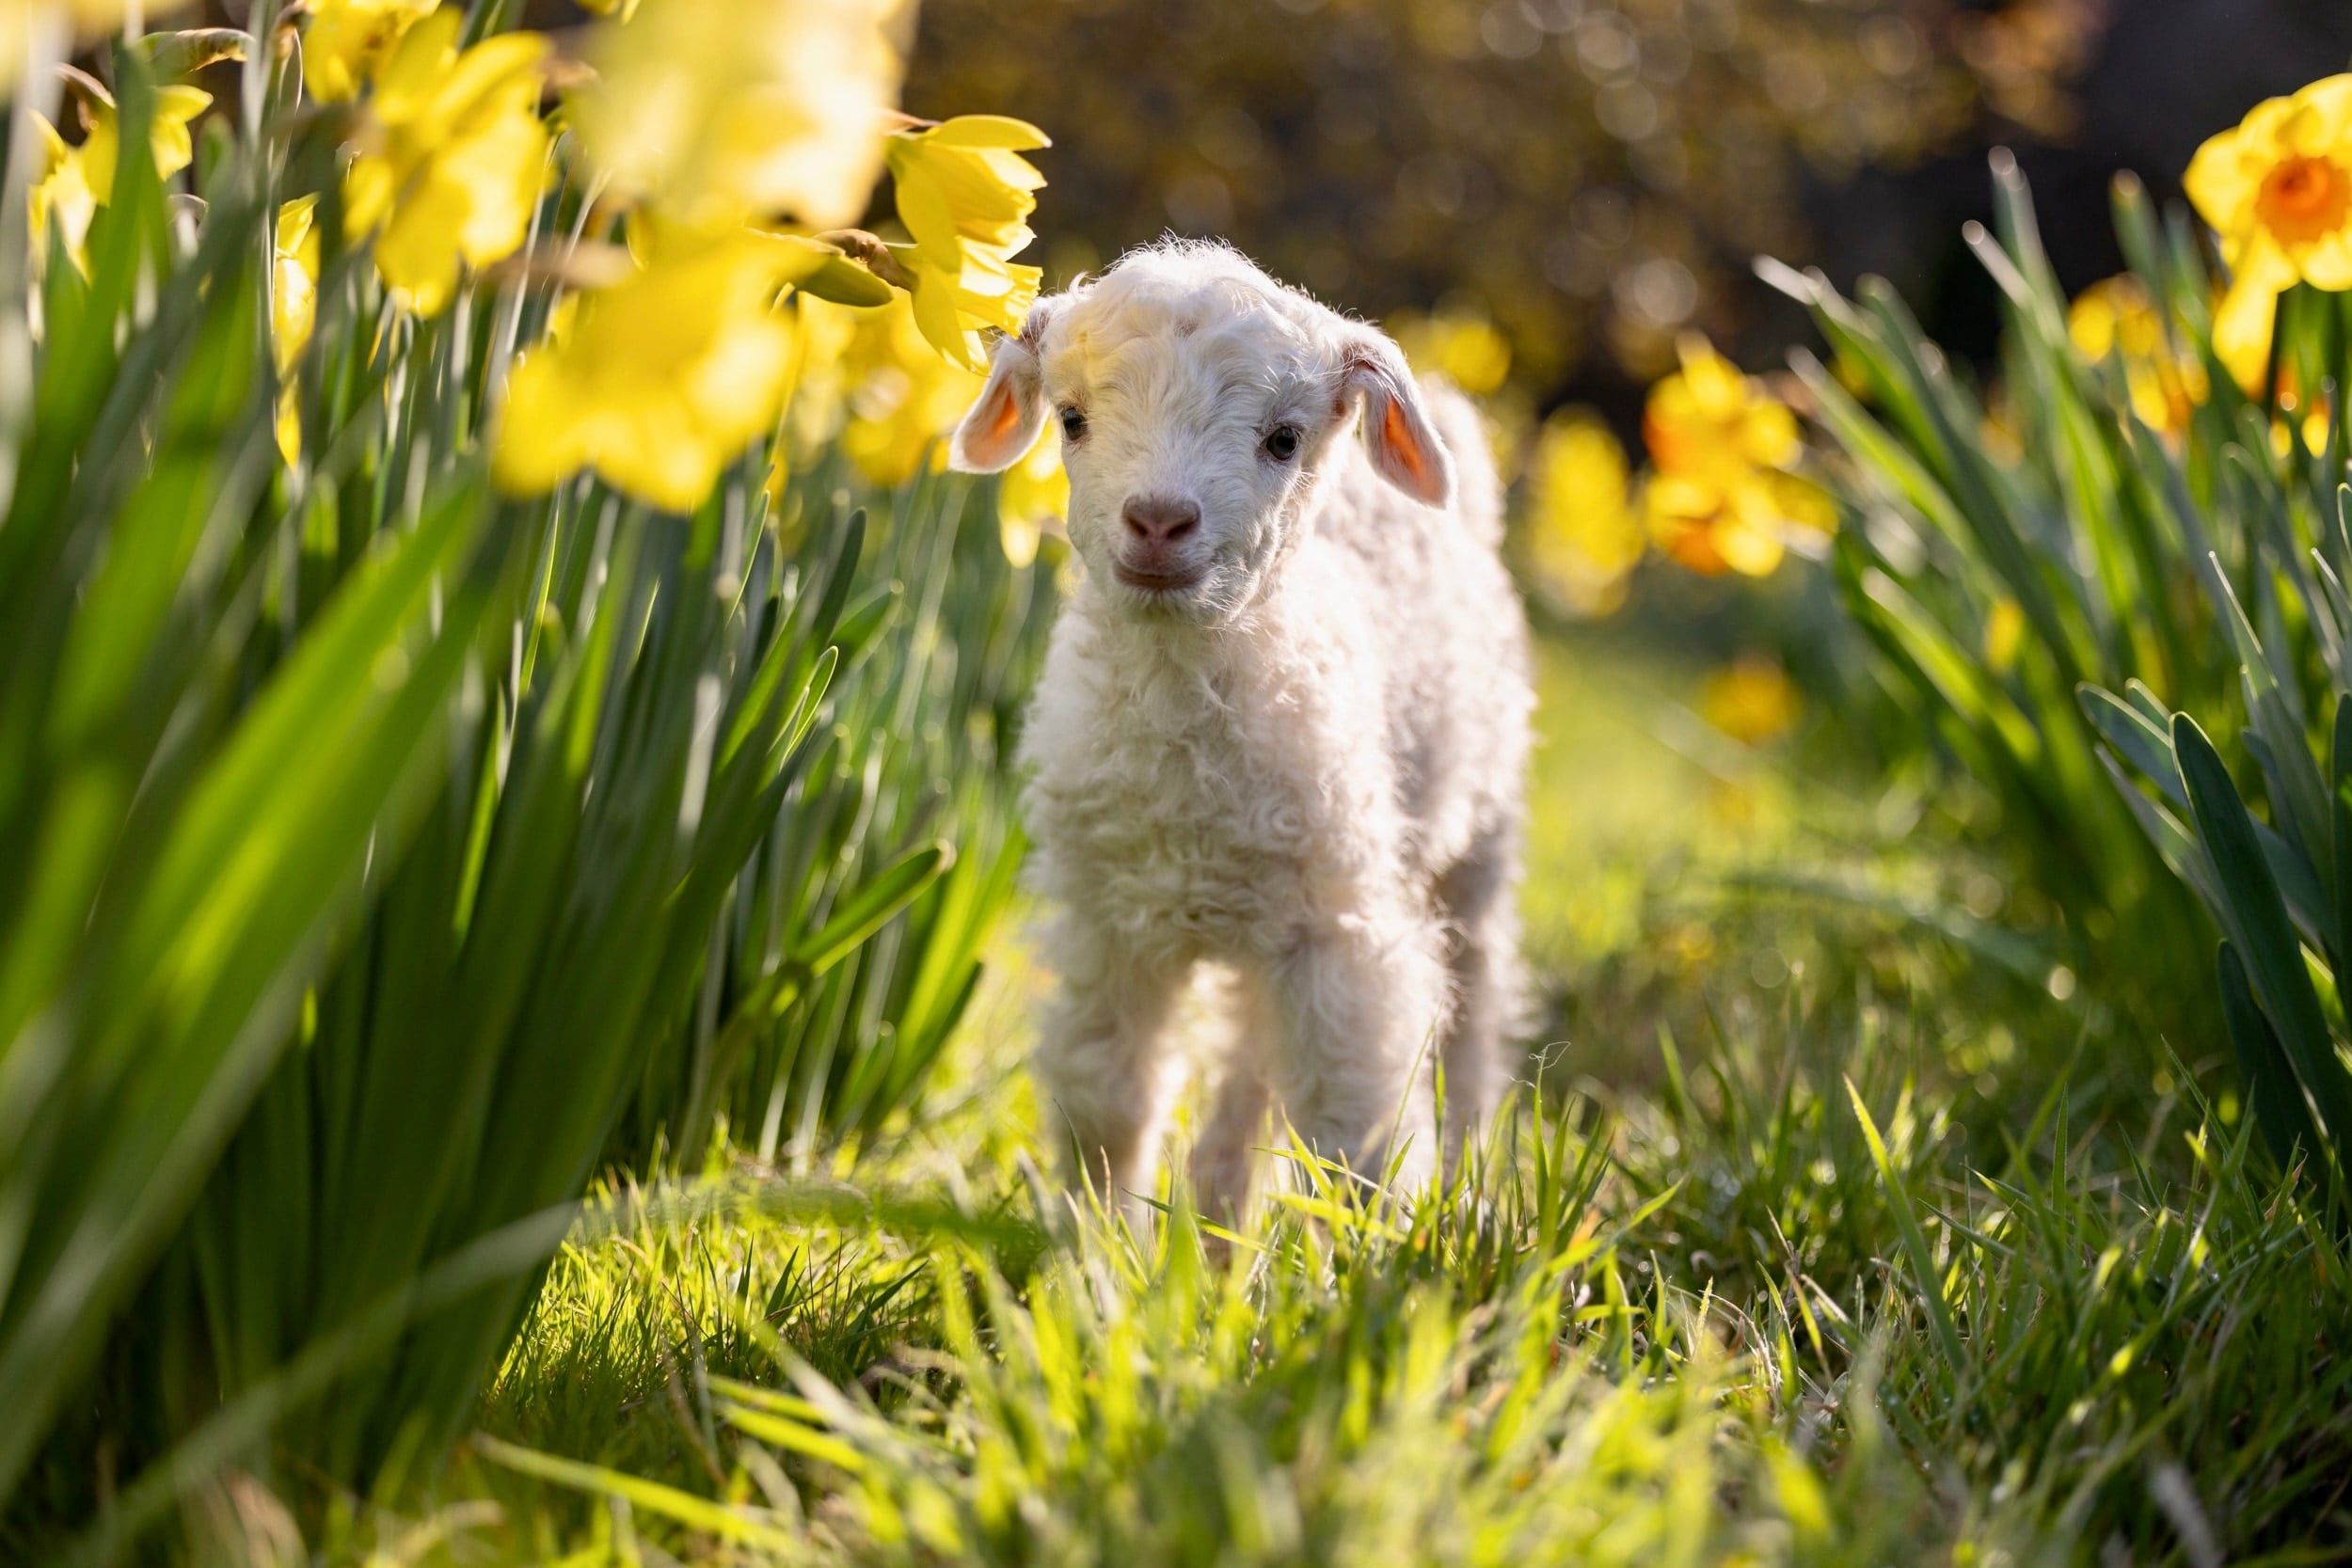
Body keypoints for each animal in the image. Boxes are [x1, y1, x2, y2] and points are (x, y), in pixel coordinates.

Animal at [949, 240, 1533, 1225]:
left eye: (1283, 439)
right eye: (1072, 419)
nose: (1158, 519)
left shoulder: (1337, 930)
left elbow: (1352, 1121)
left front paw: (1372, 1253)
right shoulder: (1107, 922)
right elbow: (1110, 1097)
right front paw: (1098, 1248)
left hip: (1478, 838)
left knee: (1473, 1015)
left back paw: (1464, 1182)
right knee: (1248, 1067)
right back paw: (1219, 1222)